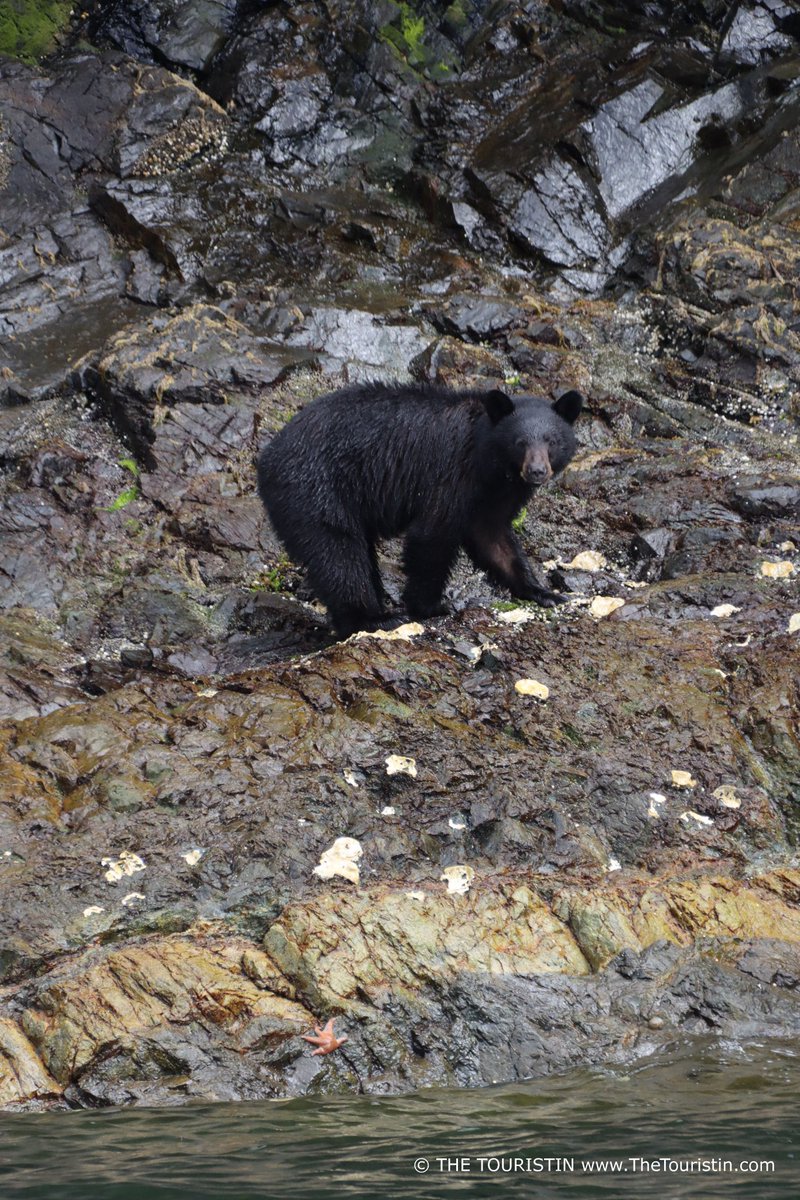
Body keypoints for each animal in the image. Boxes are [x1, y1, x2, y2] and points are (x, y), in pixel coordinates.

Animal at [257, 381, 583, 639]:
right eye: (520, 442)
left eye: (552, 441)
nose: (537, 471)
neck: (489, 461)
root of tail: (266, 458)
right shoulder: (452, 474)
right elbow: (432, 535)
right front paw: (431, 606)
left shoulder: (492, 496)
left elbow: (494, 541)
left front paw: (544, 593)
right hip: (317, 490)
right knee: (338, 553)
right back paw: (375, 618)